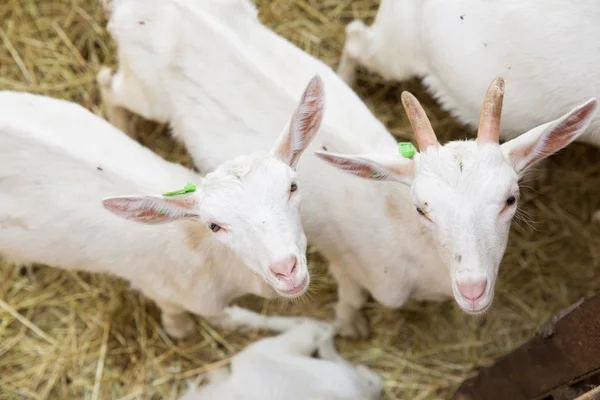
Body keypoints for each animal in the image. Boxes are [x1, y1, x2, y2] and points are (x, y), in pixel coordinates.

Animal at [97, 0, 596, 338]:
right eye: (422, 208)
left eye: (510, 199)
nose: (473, 288)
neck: (401, 235)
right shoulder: (351, 265)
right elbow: (351, 298)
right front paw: (348, 326)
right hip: (144, 89)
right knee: (108, 83)